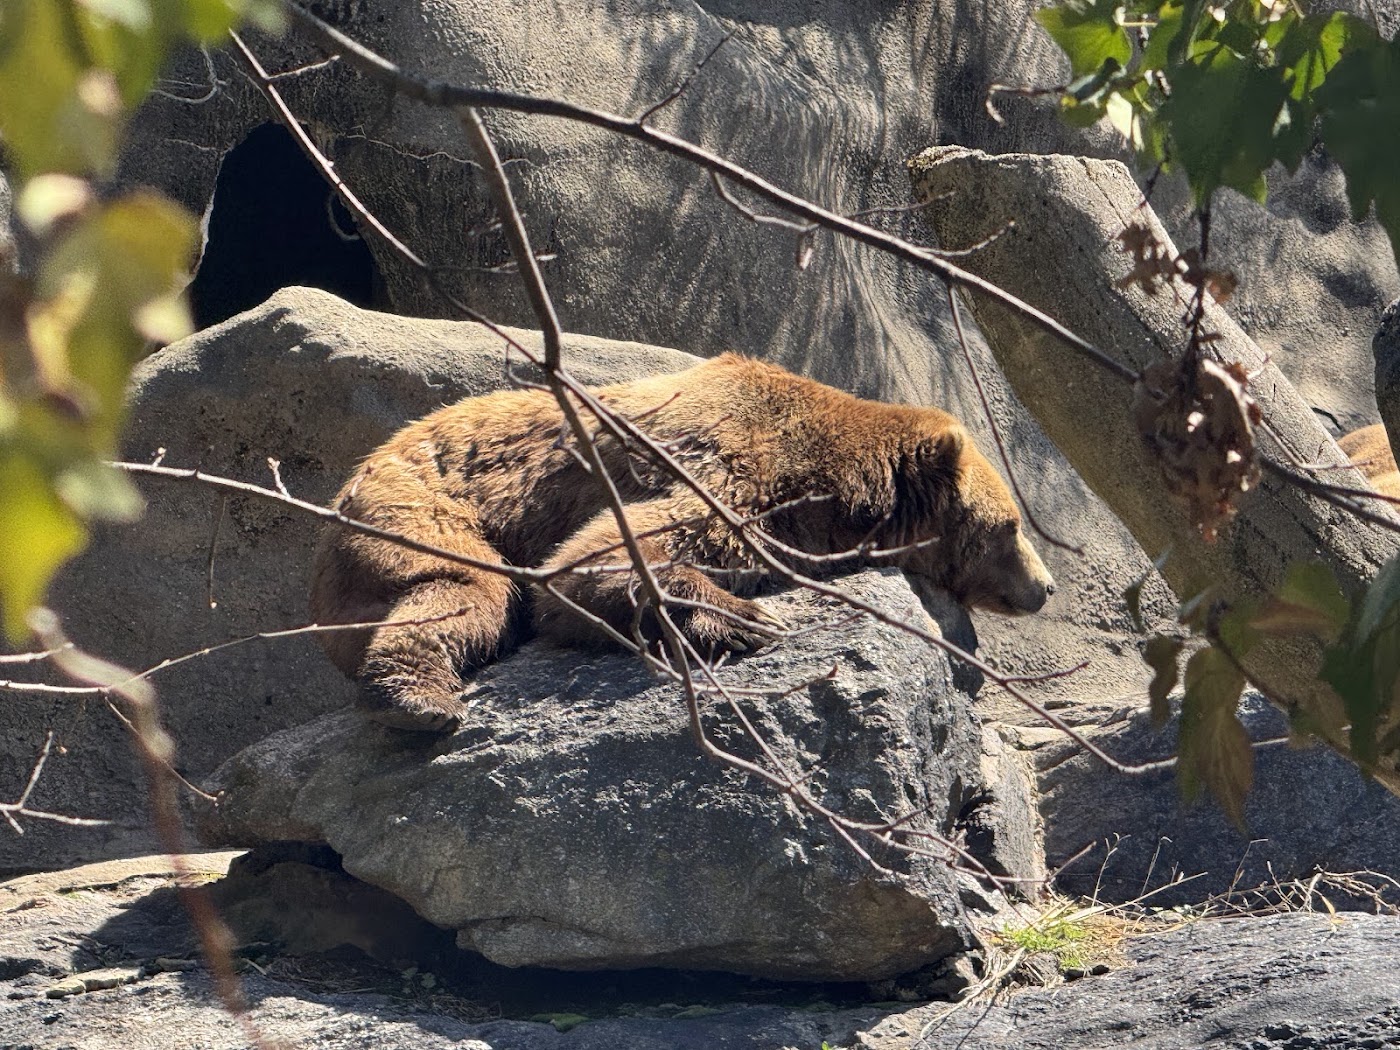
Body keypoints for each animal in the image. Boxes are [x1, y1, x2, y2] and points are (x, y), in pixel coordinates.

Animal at [310, 353, 1056, 730]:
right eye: (1012, 526)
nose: (1045, 588)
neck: (830, 486)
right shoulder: (725, 470)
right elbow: (600, 558)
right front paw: (751, 619)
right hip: (421, 506)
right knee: (466, 589)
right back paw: (420, 699)